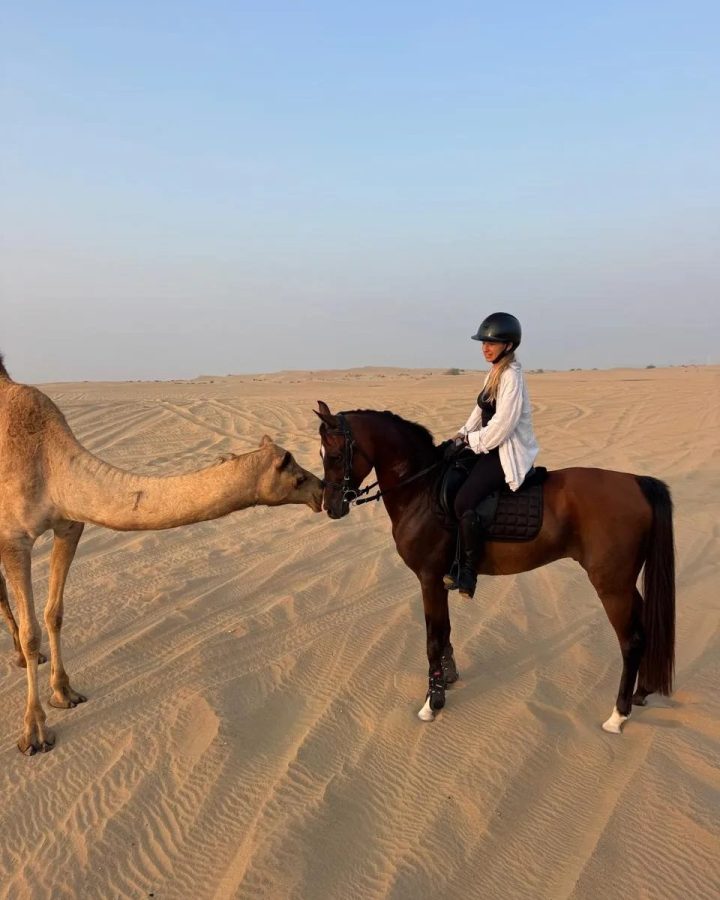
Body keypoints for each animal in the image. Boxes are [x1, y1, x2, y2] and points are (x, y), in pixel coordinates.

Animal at [315, 401, 675, 733]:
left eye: (334, 456)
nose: (330, 507)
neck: (422, 489)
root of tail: (635, 482)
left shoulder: (429, 579)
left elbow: (433, 638)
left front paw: (433, 702)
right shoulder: (439, 580)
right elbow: (444, 631)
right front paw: (448, 678)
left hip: (611, 586)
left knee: (630, 641)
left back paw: (618, 715)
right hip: (624, 584)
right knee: (645, 628)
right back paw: (642, 692)